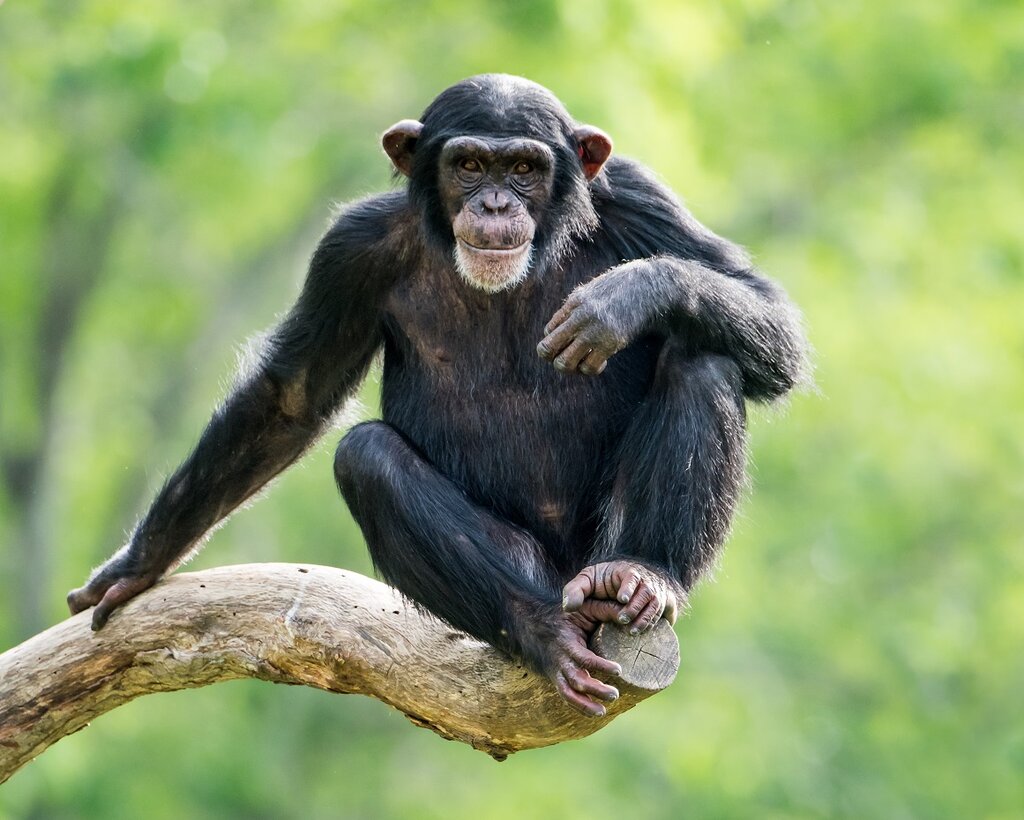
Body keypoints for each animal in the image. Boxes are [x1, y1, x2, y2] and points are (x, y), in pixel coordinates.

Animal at [70, 78, 806, 716]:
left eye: (525, 168)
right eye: (470, 164)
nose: (496, 204)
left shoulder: (639, 197)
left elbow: (774, 322)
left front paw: (627, 296)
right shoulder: (350, 249)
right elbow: (293, 395)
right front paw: (137, 565)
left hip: (597, 548)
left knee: (704, 360)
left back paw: (641, 574)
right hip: (533, 574)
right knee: (366, 456)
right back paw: (542, 631)